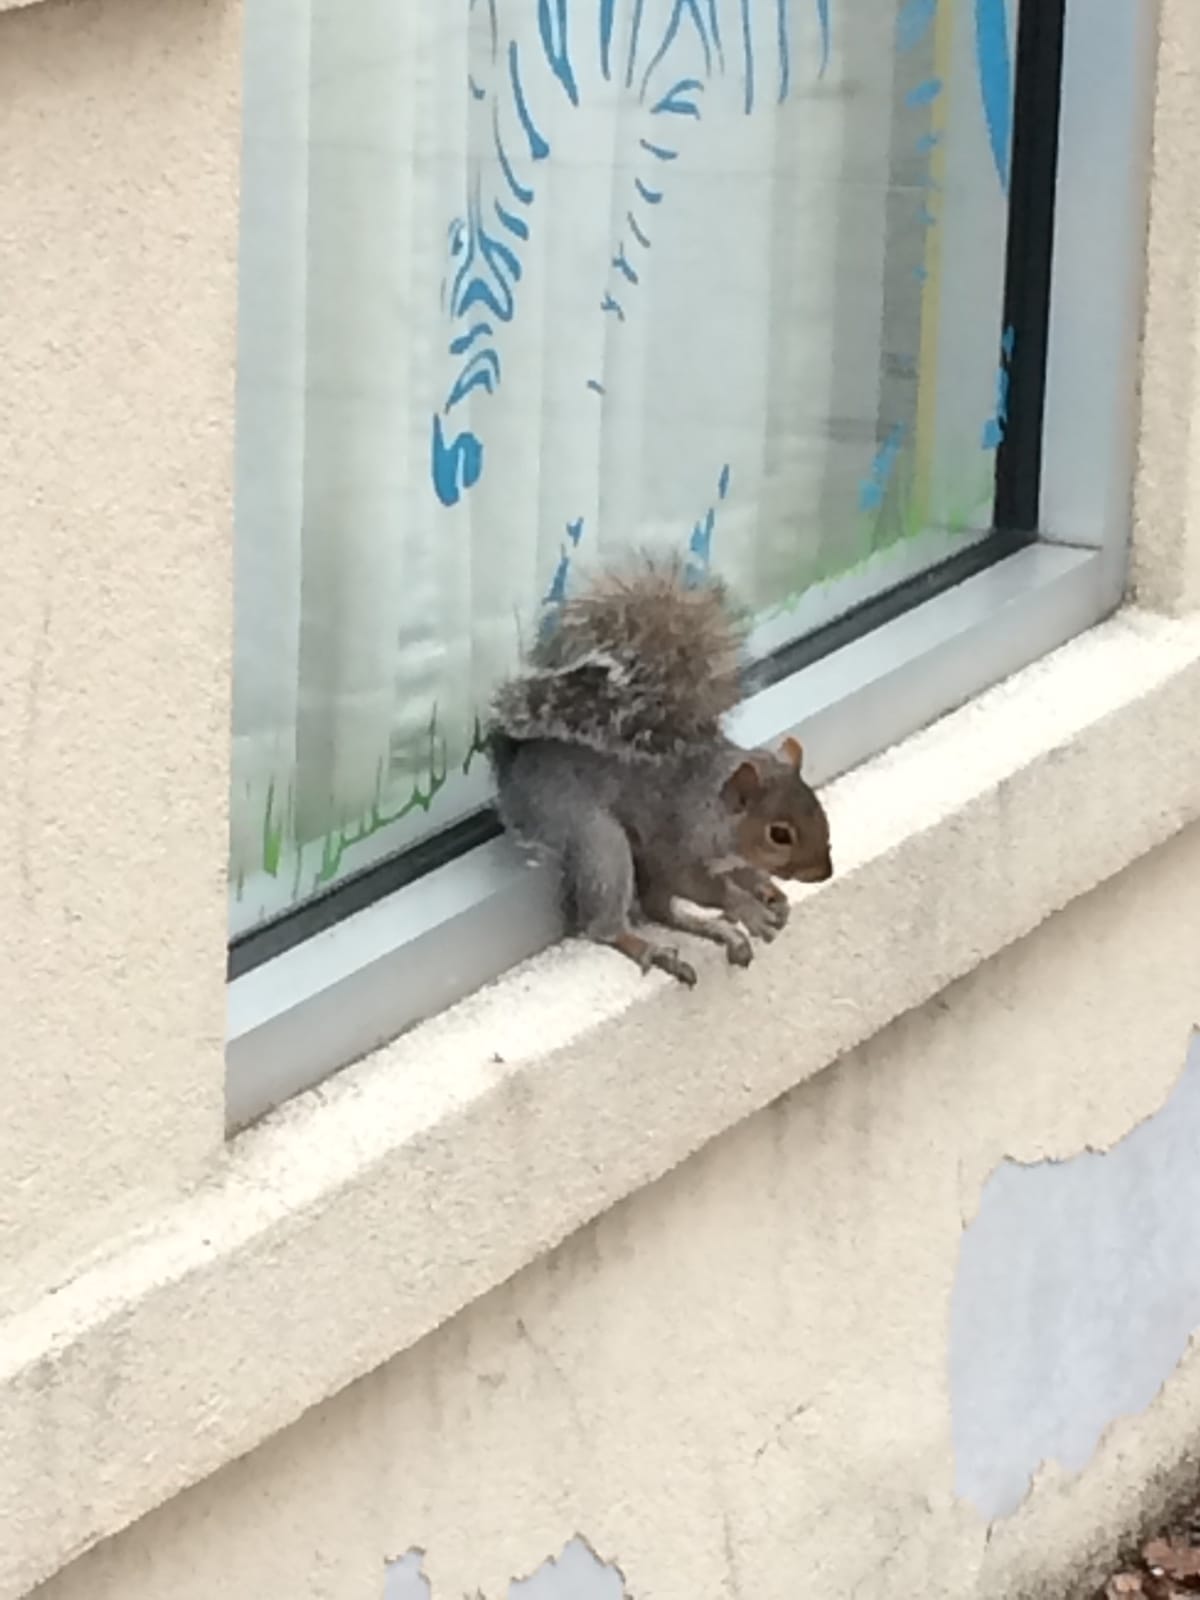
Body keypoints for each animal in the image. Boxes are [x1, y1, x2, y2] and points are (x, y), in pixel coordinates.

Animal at [488, 558, 833, 986]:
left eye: (817, 807)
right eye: (779, 834)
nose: (824, 873)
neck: (712, 807)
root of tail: (515, 768)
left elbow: (736, 878)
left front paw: (765, 890)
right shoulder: (674, 849)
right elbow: (708, 888)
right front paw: (749, 909)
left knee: (659, 909)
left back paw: (718, 932)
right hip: (594, 836)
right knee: (604, 925)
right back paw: (651, 948)